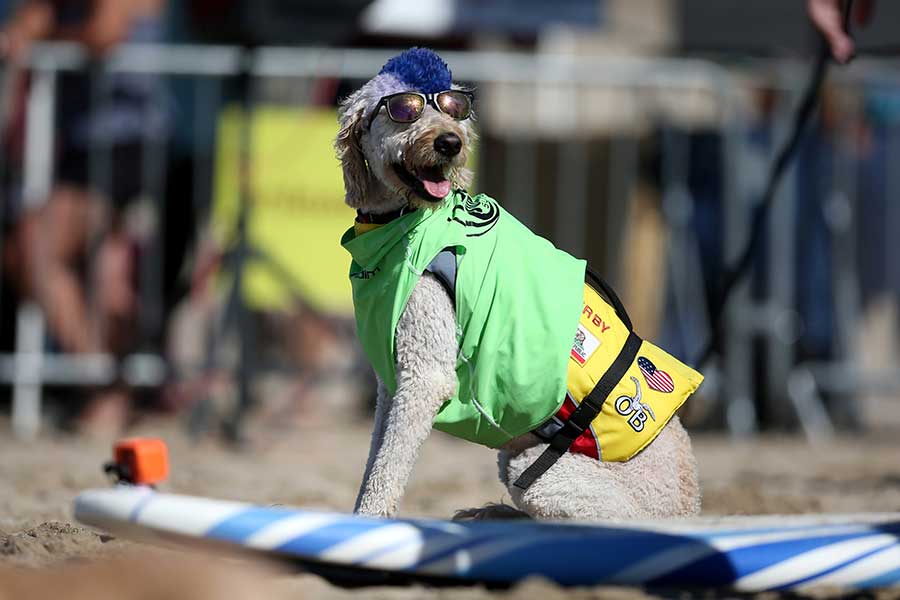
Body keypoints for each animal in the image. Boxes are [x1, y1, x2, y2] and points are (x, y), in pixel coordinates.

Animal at [336, 48, 704, 520]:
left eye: (454, 108)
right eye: (405, 110)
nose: (451, 143)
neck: (405, 219)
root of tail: (691, 508)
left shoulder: (424, 374)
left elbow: (386, 473)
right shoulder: (393, 382)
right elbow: (375, 460)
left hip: (545, 474)